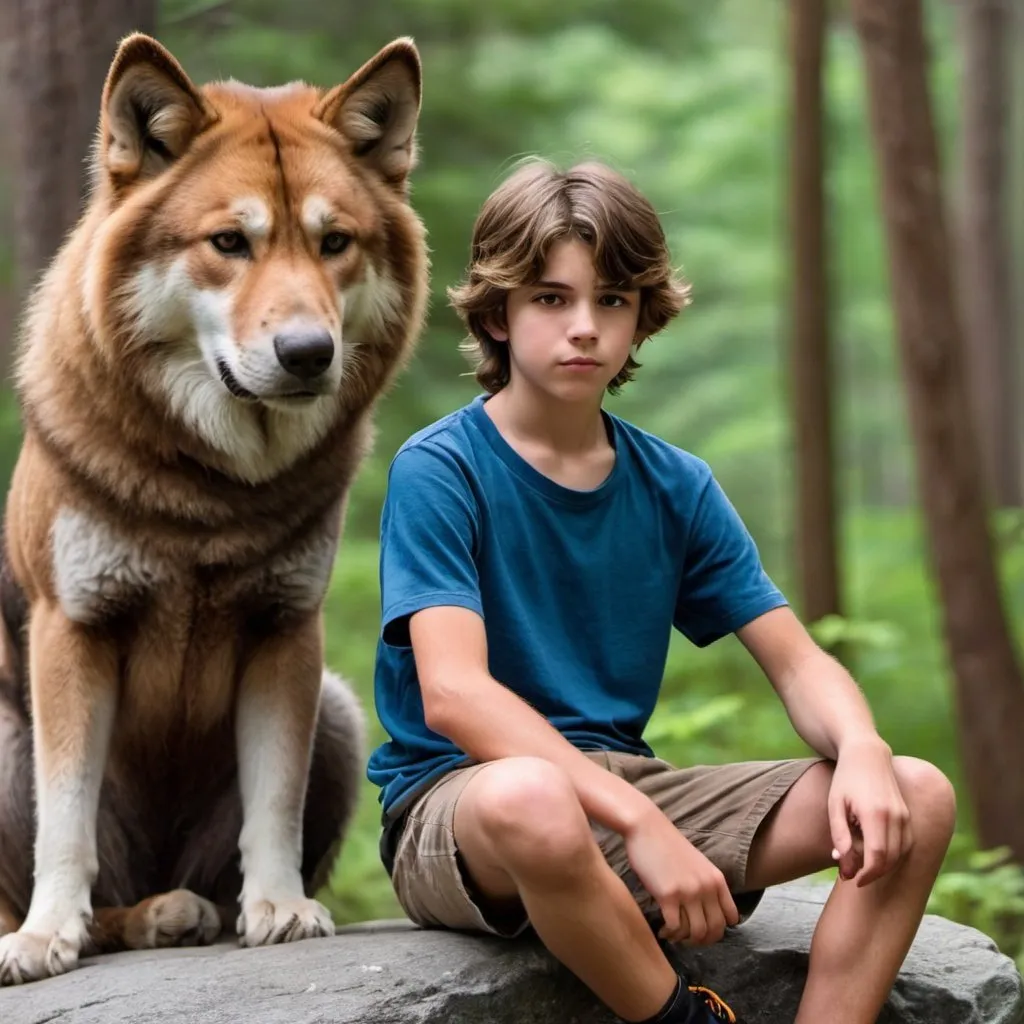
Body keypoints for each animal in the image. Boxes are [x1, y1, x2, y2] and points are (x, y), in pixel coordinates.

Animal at [0, 32, 428, 983]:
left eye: (334, 243)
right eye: (229, 242)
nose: (308, 353)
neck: (210, 497)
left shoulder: (287, 632)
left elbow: (274, 802)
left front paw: (280, 909)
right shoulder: (71, 628)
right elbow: (65, 815)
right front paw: (45, 937)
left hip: (340, 711)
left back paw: (199, 911)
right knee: (97, 903)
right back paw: (140, 918)